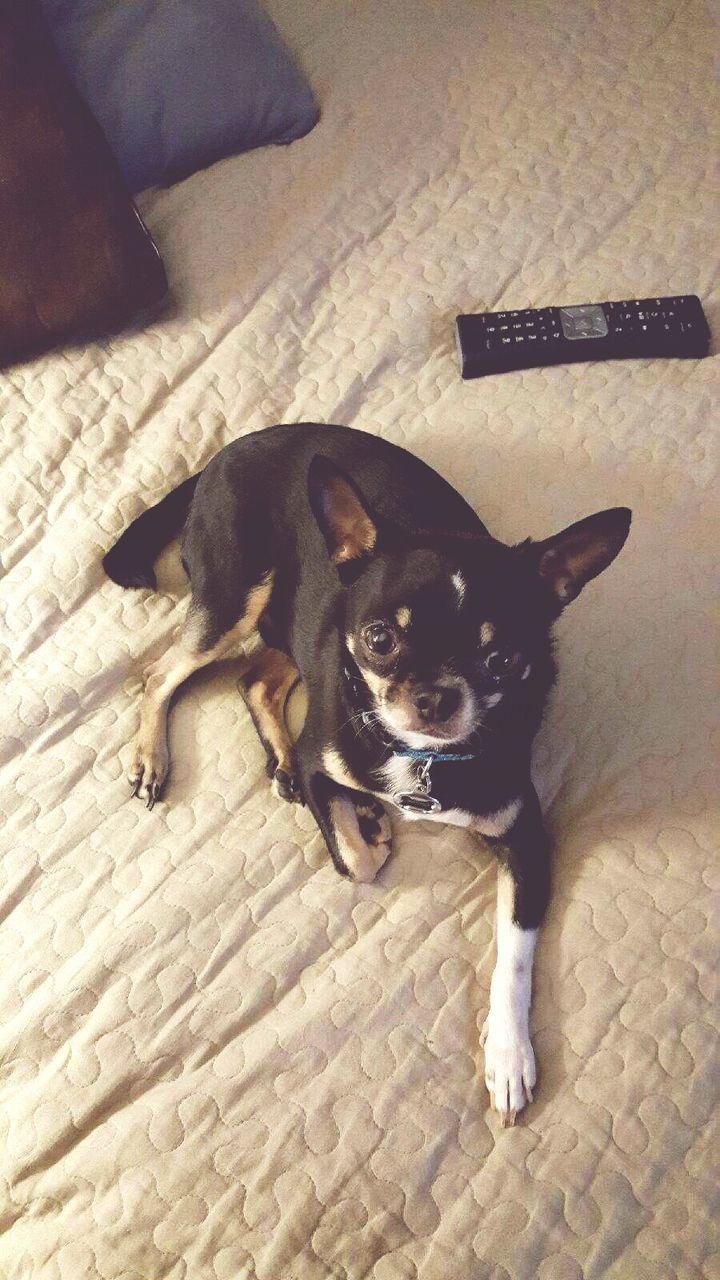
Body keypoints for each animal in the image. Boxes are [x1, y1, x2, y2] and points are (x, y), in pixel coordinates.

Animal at [102, 424, 627, 1126]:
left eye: (501, 658)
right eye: (379, 639)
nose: (434, 696)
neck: (425, 756)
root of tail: (231, 449)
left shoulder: (526, 839)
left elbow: (515, 956)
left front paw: (509, 1055)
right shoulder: (324, 753)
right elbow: (356, 859)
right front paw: (369, 823)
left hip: (287, 620)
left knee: (257, 678)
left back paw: (278, 765)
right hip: (236, 596)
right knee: (165, 671)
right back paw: (153, 756)